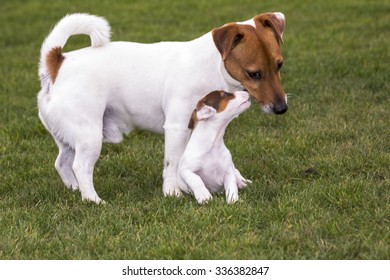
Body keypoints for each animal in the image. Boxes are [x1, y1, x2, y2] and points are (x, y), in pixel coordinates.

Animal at [37, 12, 286, 203]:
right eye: (253, 74)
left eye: (280, 65)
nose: (282, 108)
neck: (211, 66)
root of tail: (57, 62)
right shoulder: (177, 127)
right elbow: (172, 163)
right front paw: (173, 192)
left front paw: (238, 181)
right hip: (89, 136)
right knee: (80, 167)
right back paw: (93, 200)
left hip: (72, 137)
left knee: (62, 163)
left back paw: (74, 190)